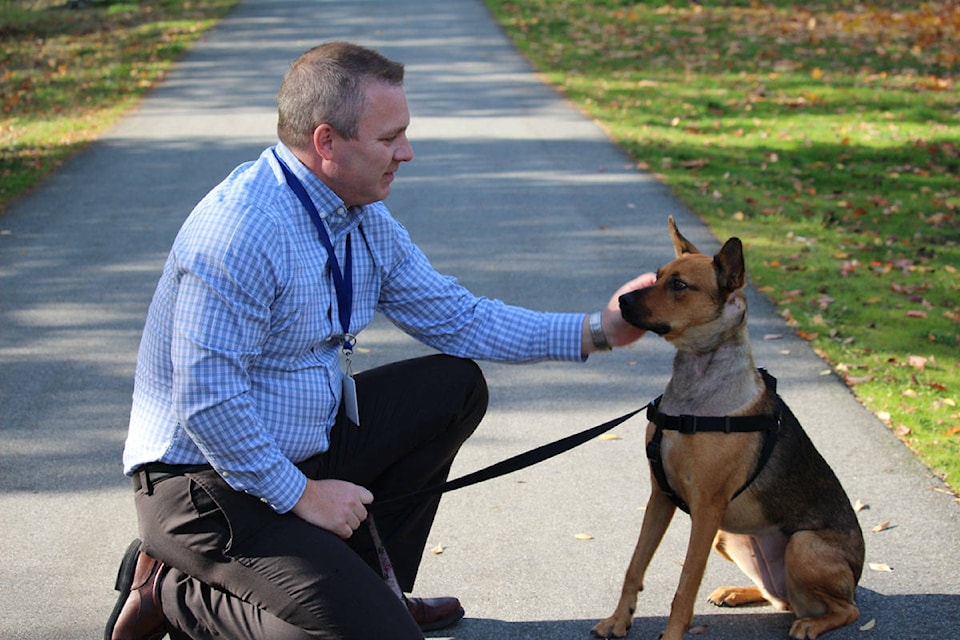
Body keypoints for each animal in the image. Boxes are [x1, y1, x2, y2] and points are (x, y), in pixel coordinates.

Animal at [596, 219, 868, 640]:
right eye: (657, 276)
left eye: (679, 285)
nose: (621, 302)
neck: (695, 388)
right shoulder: (660, 495)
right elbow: (635, 565)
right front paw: (618, 620)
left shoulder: (707, 509)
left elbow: (686, 583)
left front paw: (672, 634)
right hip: (731, 538)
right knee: (779, 597)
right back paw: (737, 592)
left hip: (802, 545)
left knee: (845, 609)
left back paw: (811, 624)